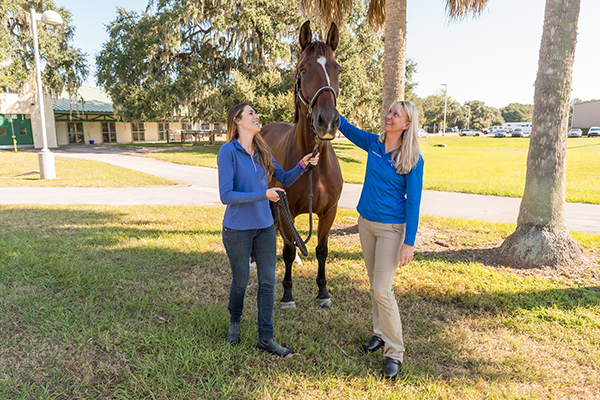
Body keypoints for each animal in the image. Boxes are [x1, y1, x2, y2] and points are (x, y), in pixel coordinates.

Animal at [262, 21, 342, 310]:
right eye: (303, 69)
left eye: (337, 69)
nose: (327, 121)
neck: (314, 169)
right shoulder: (287, 208)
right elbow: (286, 250)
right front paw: (287, 295)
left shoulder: (329, 212)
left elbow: (321, 250)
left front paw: (324, 292)